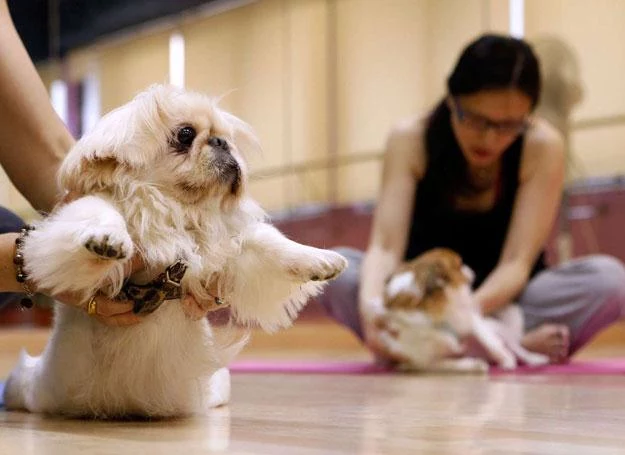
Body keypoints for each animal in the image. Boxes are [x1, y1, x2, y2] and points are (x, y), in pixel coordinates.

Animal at [2, 83, 346, 418]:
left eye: (226, 137)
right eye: (185, 135)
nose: (221, 142)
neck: (177, 209)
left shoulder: (229, 247)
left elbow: (269, 243)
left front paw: (321, 260)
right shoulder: (90, 210)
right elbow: (102, 214)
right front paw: (106, 240)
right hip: (30, 387)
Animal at [376, 249, 544, 374]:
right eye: (459, 265)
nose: (470, 269)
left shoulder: (472, 320)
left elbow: (490, 342)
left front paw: (506, 359)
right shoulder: (426, 361)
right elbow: (451, 364)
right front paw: (474, 364)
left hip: (501, 333)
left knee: (517, 348)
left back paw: (534, 359)